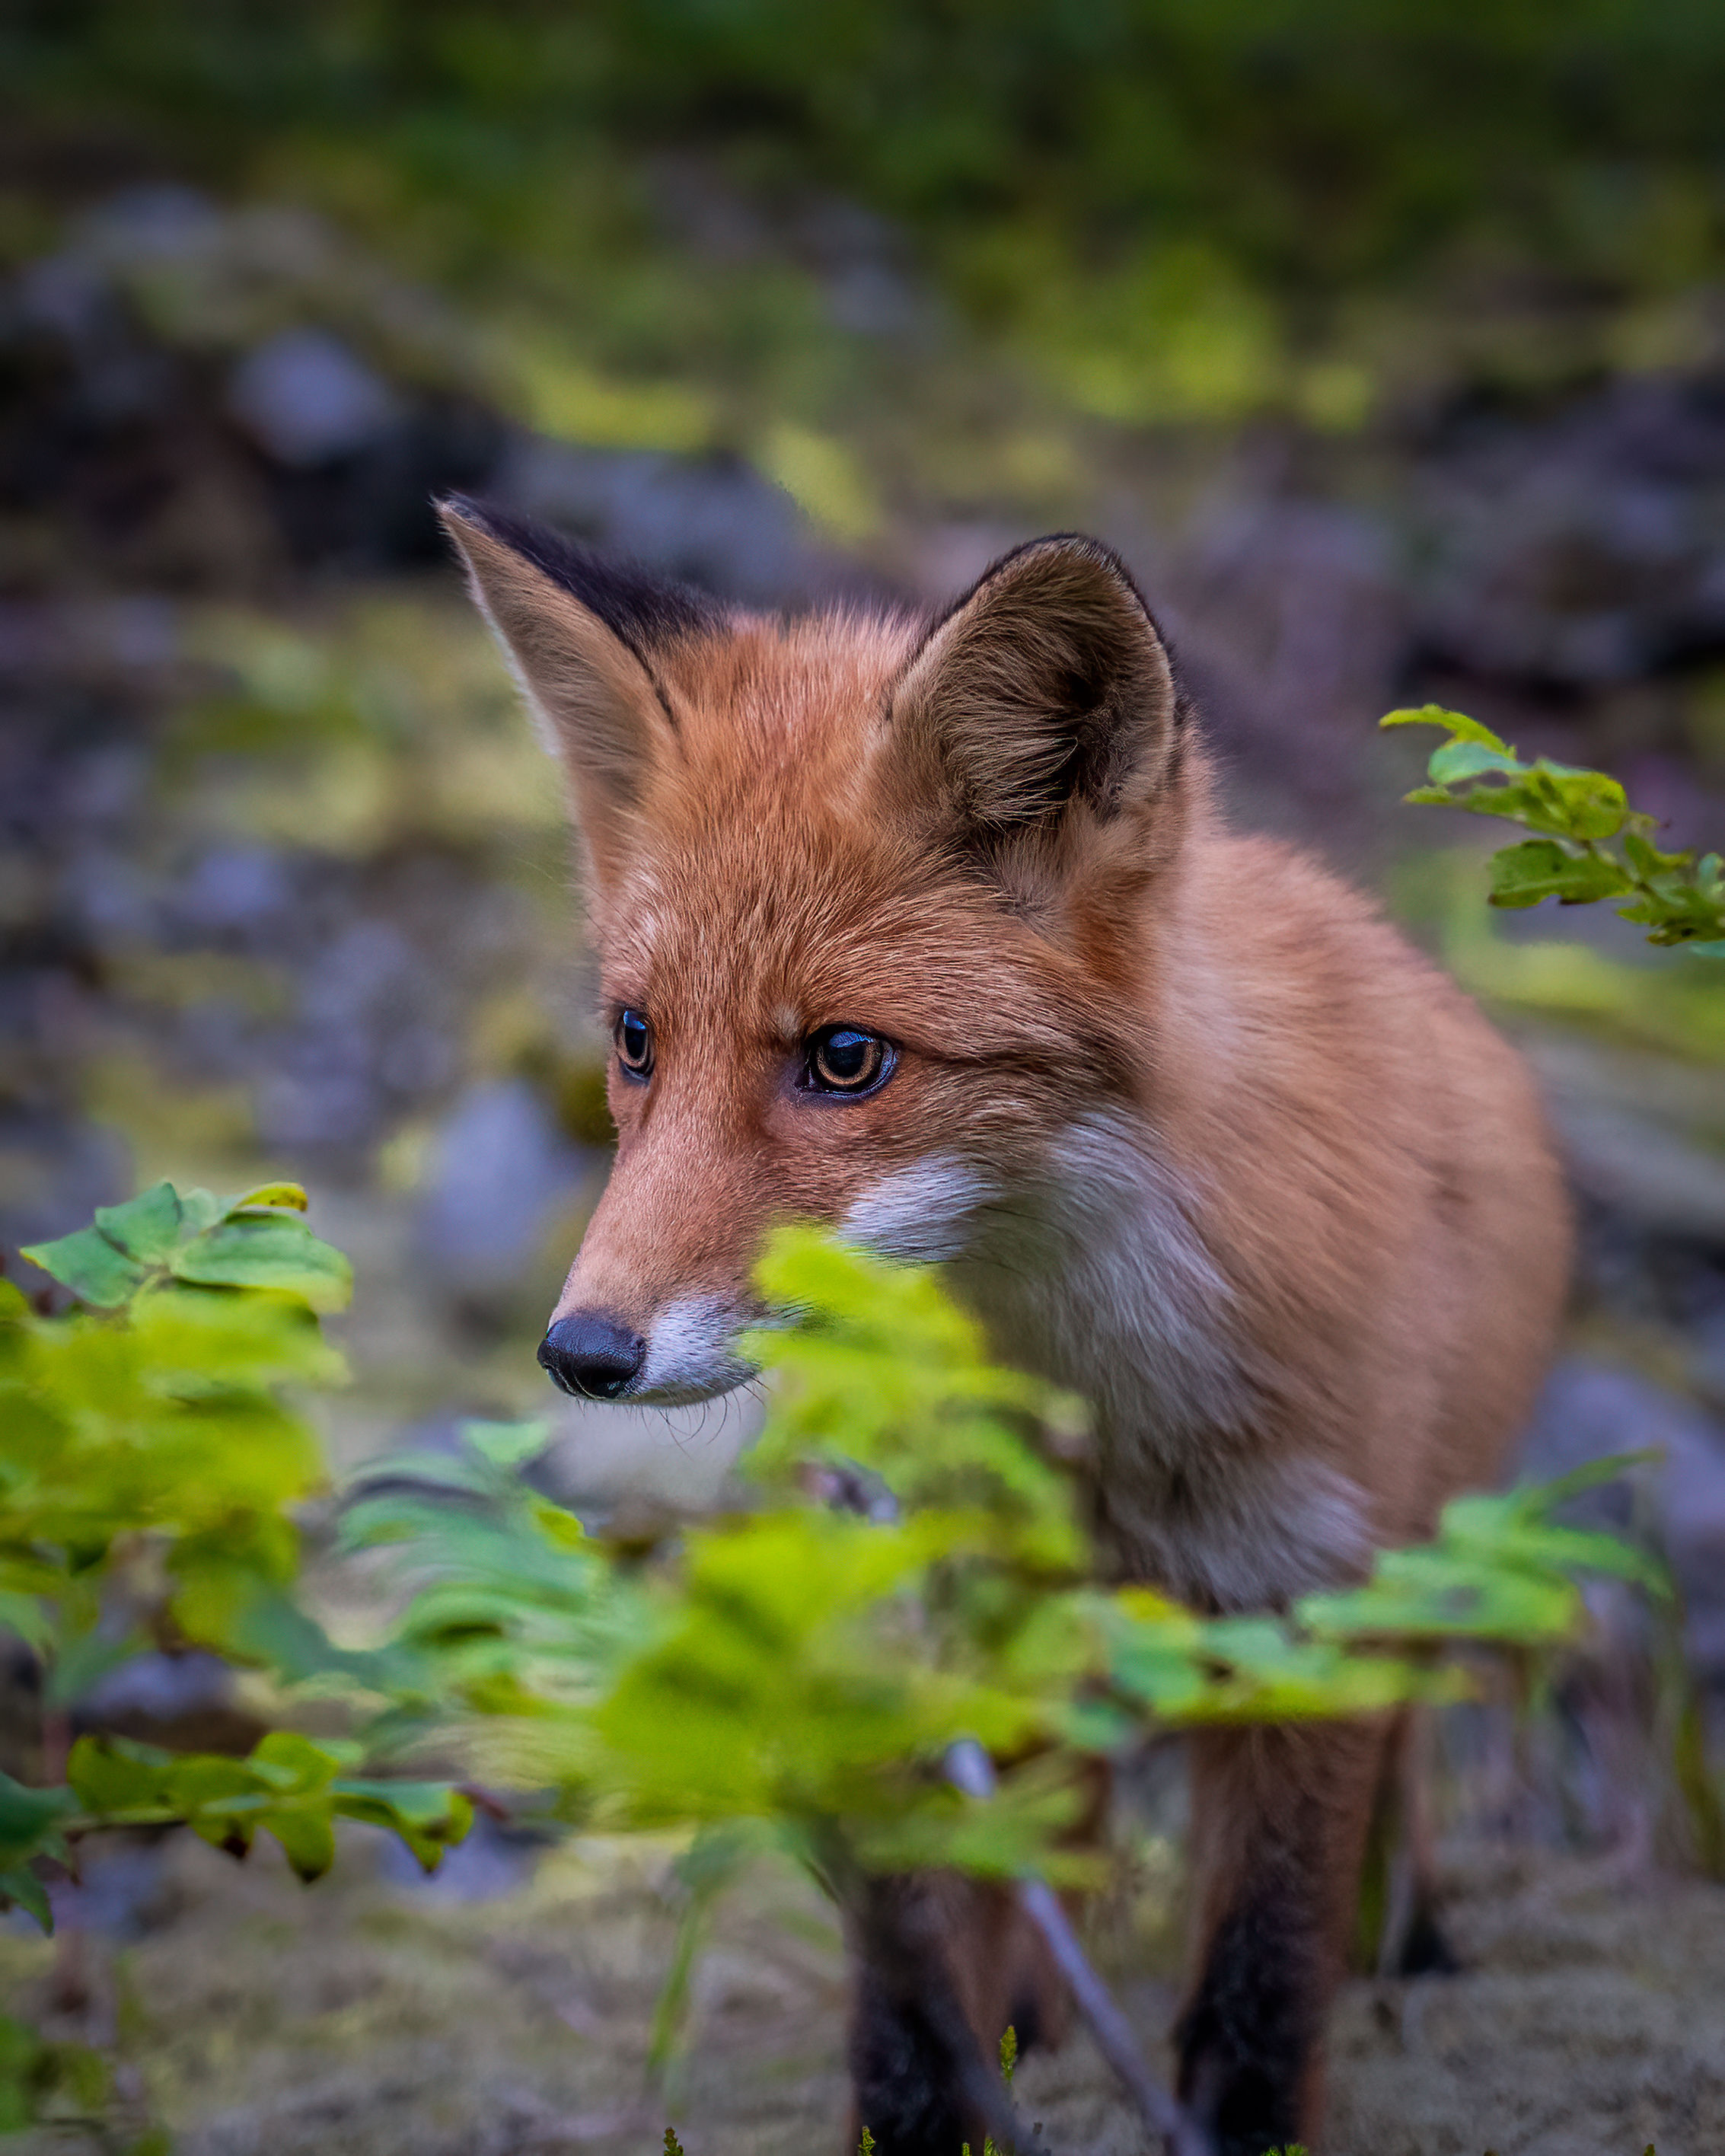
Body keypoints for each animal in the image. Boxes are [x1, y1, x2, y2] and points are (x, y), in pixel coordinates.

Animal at [439, 496, 1571, 2156]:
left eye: (845, 1060)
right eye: (636, 1040)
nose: (581, 1353)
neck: (1100, 1399)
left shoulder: (1312, 1600)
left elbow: (1261, 1978)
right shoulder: (955, 1605)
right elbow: (922, 1981)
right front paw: (939, 2104)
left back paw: (1410, 1937)